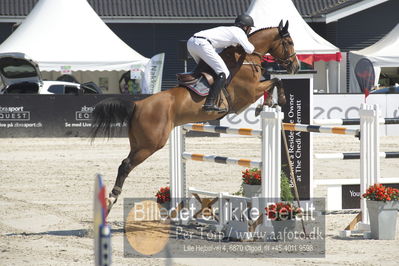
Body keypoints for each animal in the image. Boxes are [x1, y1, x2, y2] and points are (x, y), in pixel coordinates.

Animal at [92, 19, 300, 213]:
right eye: (289, 41)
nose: (295, 67)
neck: (246, 58)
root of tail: (138, 104)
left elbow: (273, 82)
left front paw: (268, 103)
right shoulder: (248, 93)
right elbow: (276, 80)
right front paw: (277, 100)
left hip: (138, 142)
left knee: (123, 163)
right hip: (150, 144)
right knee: (126, 165)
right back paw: (111, 199)